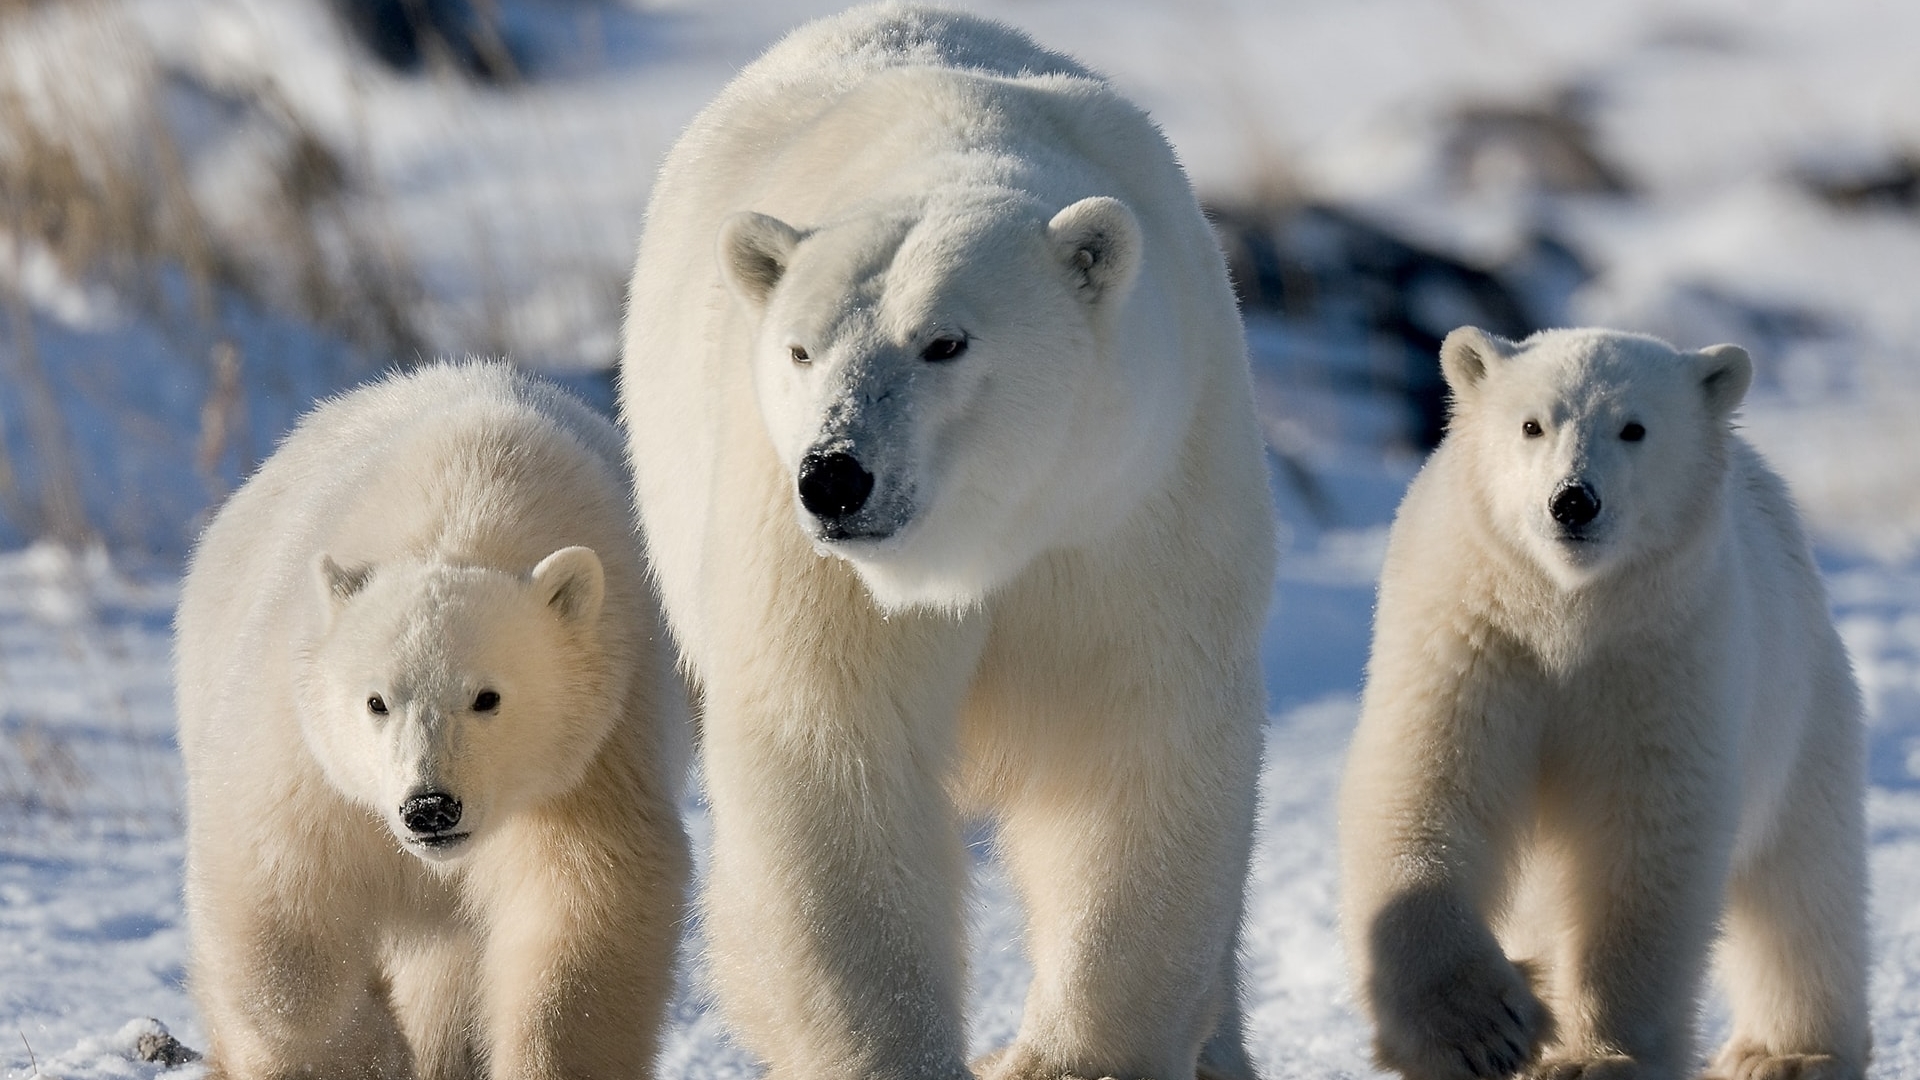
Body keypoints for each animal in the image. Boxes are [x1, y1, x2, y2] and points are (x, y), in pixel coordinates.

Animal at [174, 362, 691, 1080]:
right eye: (376, 701)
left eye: (487, 697)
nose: (430, 808)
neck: (467, 507)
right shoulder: (306, 752)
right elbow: (280, 890)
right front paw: (364, 1052)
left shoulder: (598, 751)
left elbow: (584, 912)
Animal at [617, 6, 1276, 1080]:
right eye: (799, 349)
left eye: (945, 343)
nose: (835, 475)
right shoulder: (810, 561)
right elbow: (836, 757)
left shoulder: (1132, 513)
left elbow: (1130, 744)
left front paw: (1066, 1059)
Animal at [1339, 327, 1869, 1080]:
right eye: (1532, 424)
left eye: (1634, 428)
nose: (1573, 501)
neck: (1565, 608)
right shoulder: (1471, 636)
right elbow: (1428, 787)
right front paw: (1482, 1032)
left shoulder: (1660, 654)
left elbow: (1643, 839)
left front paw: (1598, 1057)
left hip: (1804, 710)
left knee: (1802, 884)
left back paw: (1788, 1053)